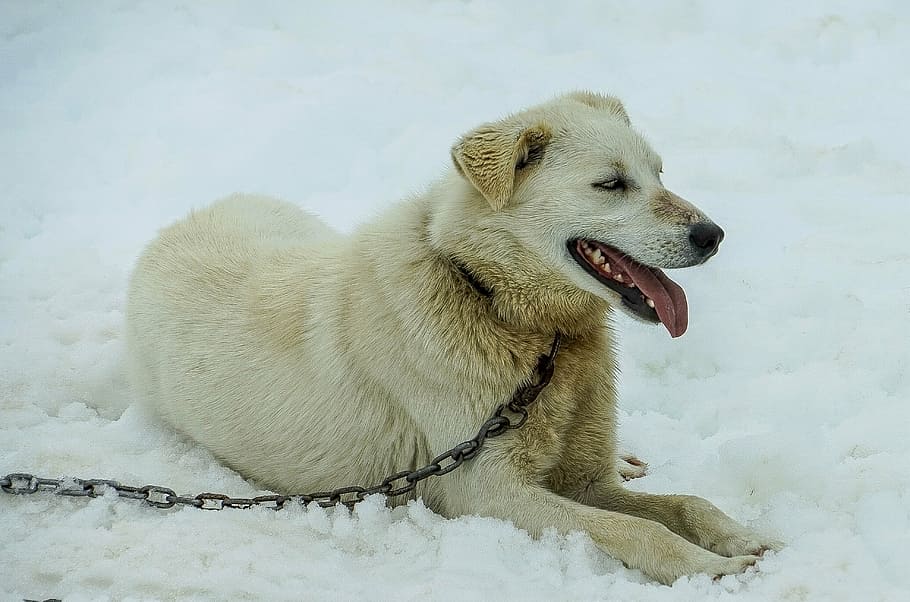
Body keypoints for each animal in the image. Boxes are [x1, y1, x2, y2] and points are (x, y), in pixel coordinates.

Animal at [126, 92, 784, 580]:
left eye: (659, 175)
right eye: (611, 184)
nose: (712, 235)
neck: (500, 306)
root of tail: (176, 228)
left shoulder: (583, 479)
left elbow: (686, 502)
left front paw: (740, 538)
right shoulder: (487, 494)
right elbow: (637, 527)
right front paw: (708, 569)